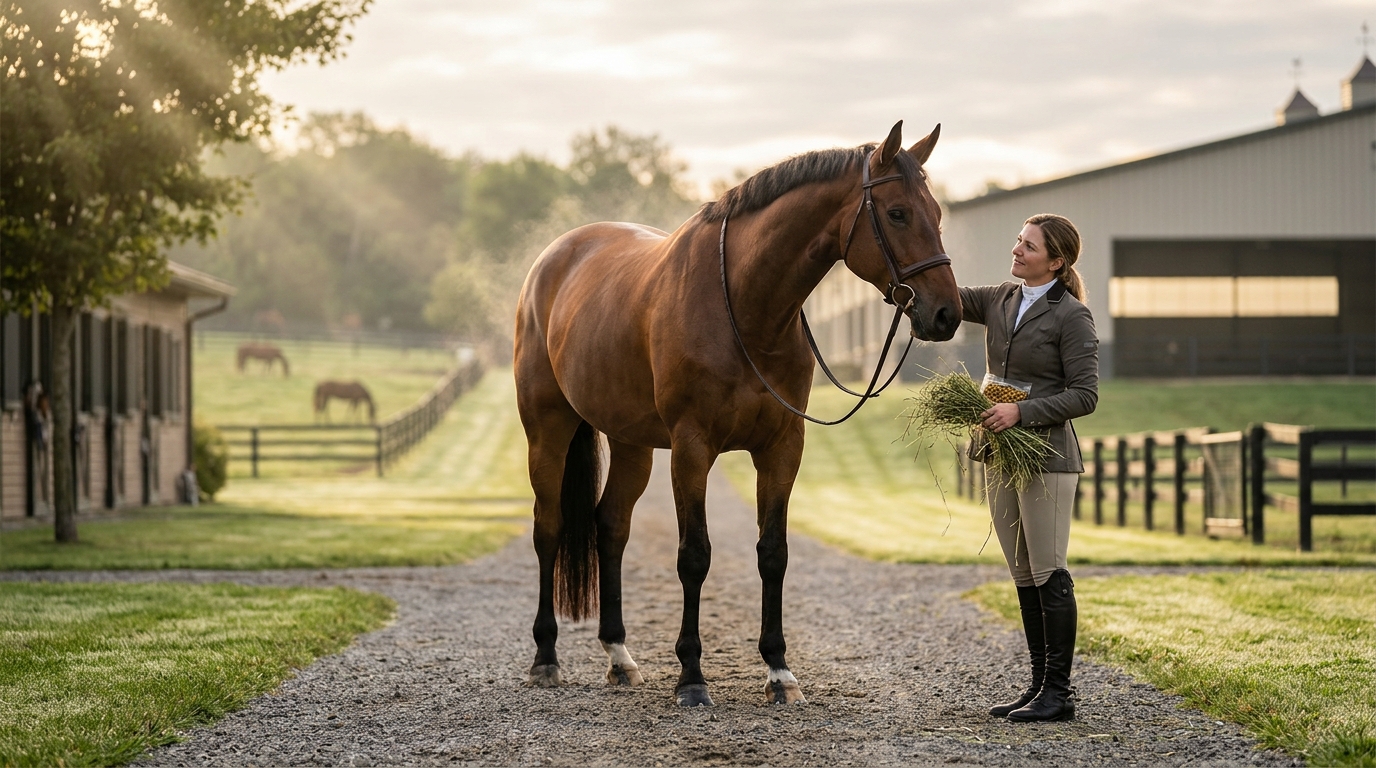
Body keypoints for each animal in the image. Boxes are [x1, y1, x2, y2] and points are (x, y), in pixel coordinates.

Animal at [513, 121, 961, 707]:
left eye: (936, 212)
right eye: (898, 213)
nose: (947, 313)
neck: (745, 307)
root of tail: (553, 259)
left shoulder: (781, 448)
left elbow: (773, 553)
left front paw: (779, 671)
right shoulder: (691, 447)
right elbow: (694, 556)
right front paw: (691, 676)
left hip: (632, 444)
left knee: (610, 526)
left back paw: (619, 657)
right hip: (548, 431)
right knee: (549, 529)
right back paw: (545, 657)